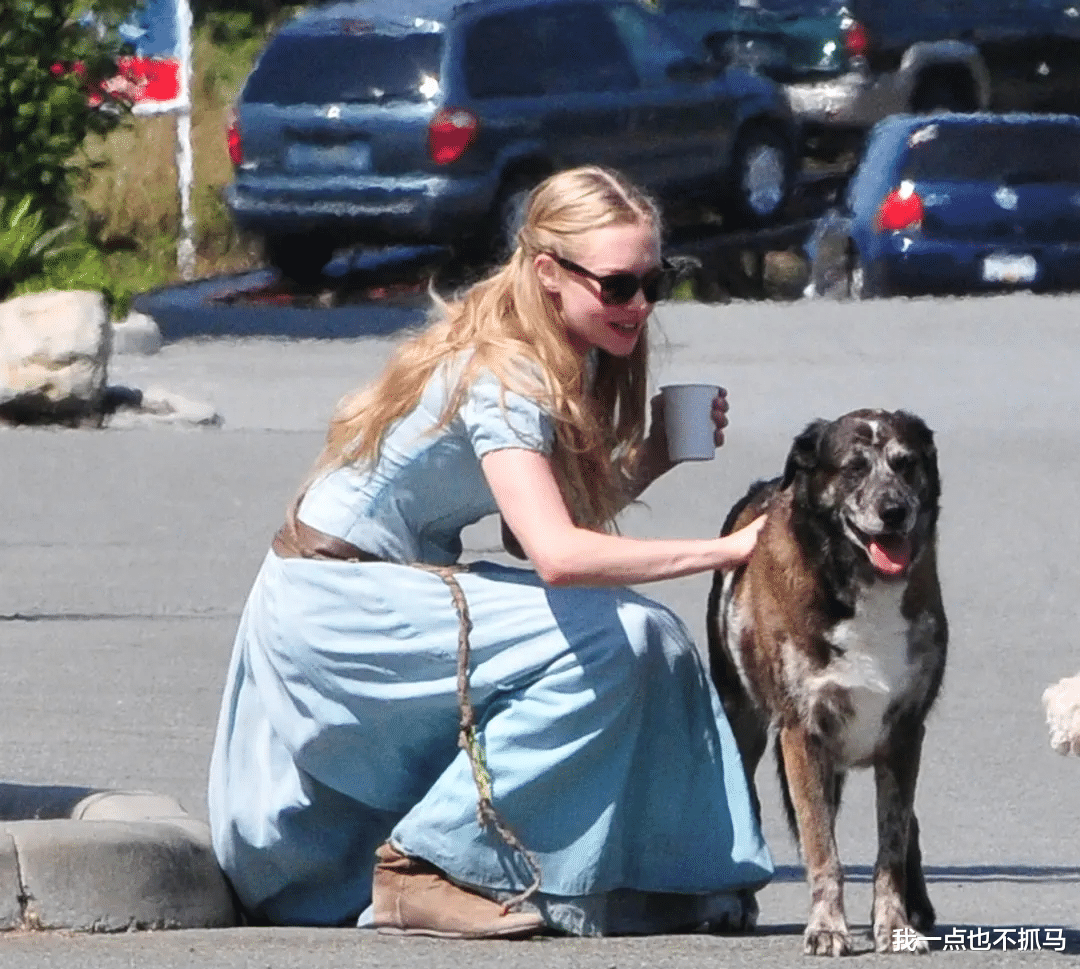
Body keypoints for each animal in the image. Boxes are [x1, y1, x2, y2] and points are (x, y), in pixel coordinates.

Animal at [708, 406, 946, 950]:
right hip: (743, 721)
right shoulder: (802, 734)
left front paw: (894, 924)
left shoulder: (906, 733)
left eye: (905, 464)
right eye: (854, 468)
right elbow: (822, 847)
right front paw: (827, 927)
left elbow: (892, 844)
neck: (862, 584)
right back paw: (736, 902)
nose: (894, 510)